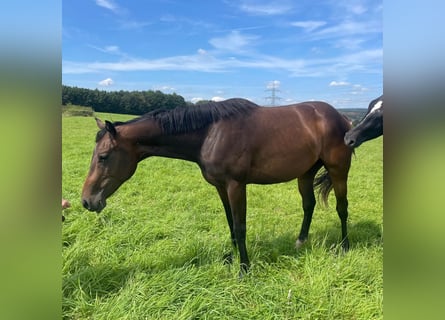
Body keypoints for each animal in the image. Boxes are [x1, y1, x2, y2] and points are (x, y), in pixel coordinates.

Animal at [82, 98, 354, 276]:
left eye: (103, 156)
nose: (87, 200)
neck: (211, 133)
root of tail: (342, 117)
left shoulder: (236, 186)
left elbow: (240, 226)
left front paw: (244, 269)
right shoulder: (221, 187)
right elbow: (230, 223)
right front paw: (232, 259)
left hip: (338, 170)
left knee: (342, 208)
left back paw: (344, 247)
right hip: (305, 173)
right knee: (309, 205)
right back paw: (300, 242)